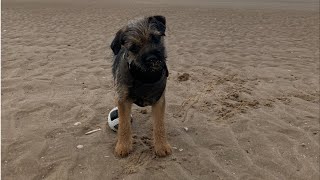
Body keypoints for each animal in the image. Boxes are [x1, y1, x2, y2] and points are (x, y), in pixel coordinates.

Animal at [110, 15, 171, 157]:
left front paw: (162, 146)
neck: (145, 76)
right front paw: (123, 146)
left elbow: (159, 124)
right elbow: (124, 124)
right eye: (134, 47)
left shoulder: (159, 100)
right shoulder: (123, 100)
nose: (152, 58)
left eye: (155, 38)